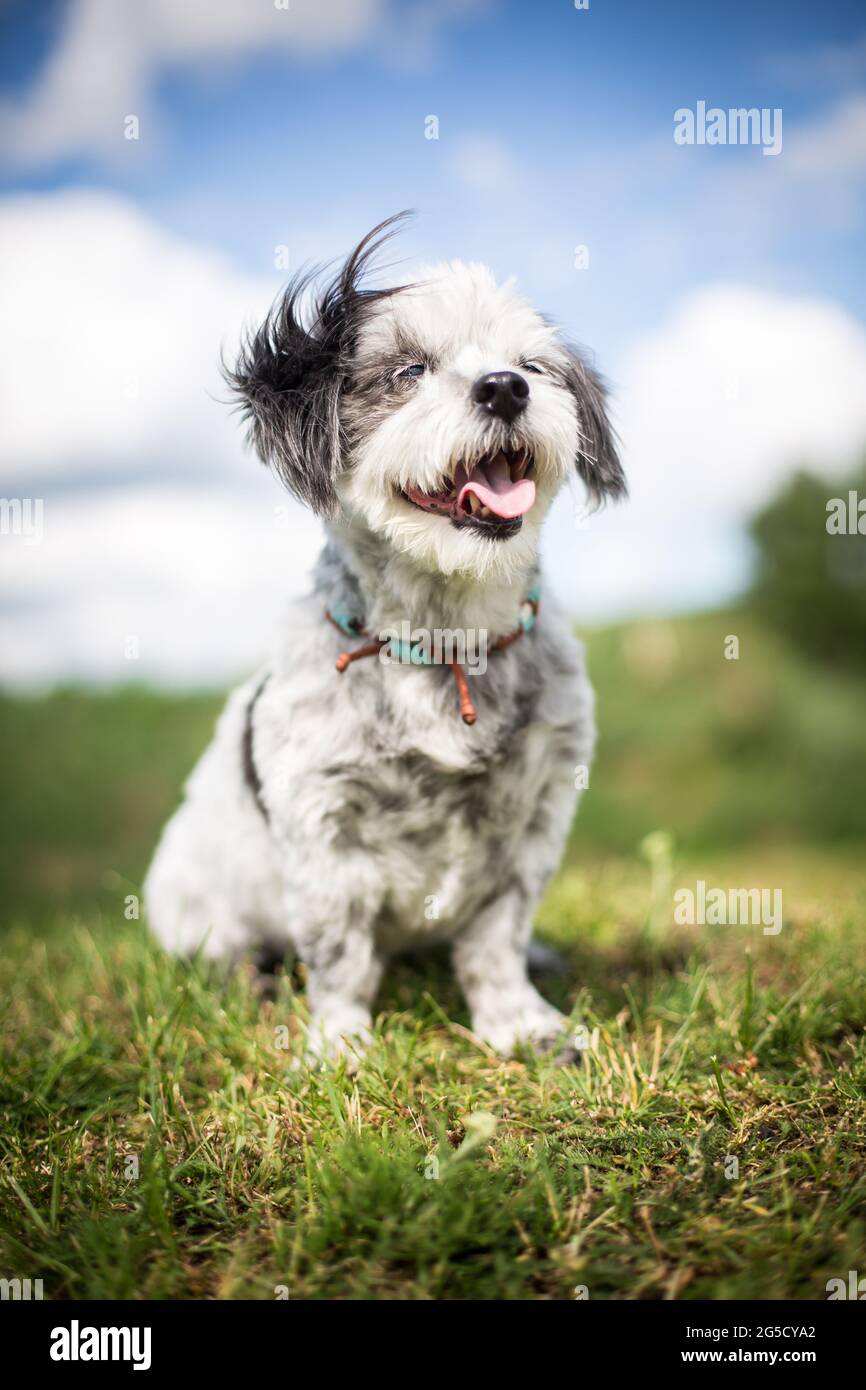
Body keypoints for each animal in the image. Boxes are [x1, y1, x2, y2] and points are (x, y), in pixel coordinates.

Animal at [145, 214, 625, 1061]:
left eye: (533, 366)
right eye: (408, 370)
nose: (505, 387)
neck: (445, 642)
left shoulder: (534, 819)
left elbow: (497, 939)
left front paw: (523, 1026)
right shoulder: (324, 828)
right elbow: (341, 955)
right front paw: (338, 1044)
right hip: (193, 907)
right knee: (229, 954)